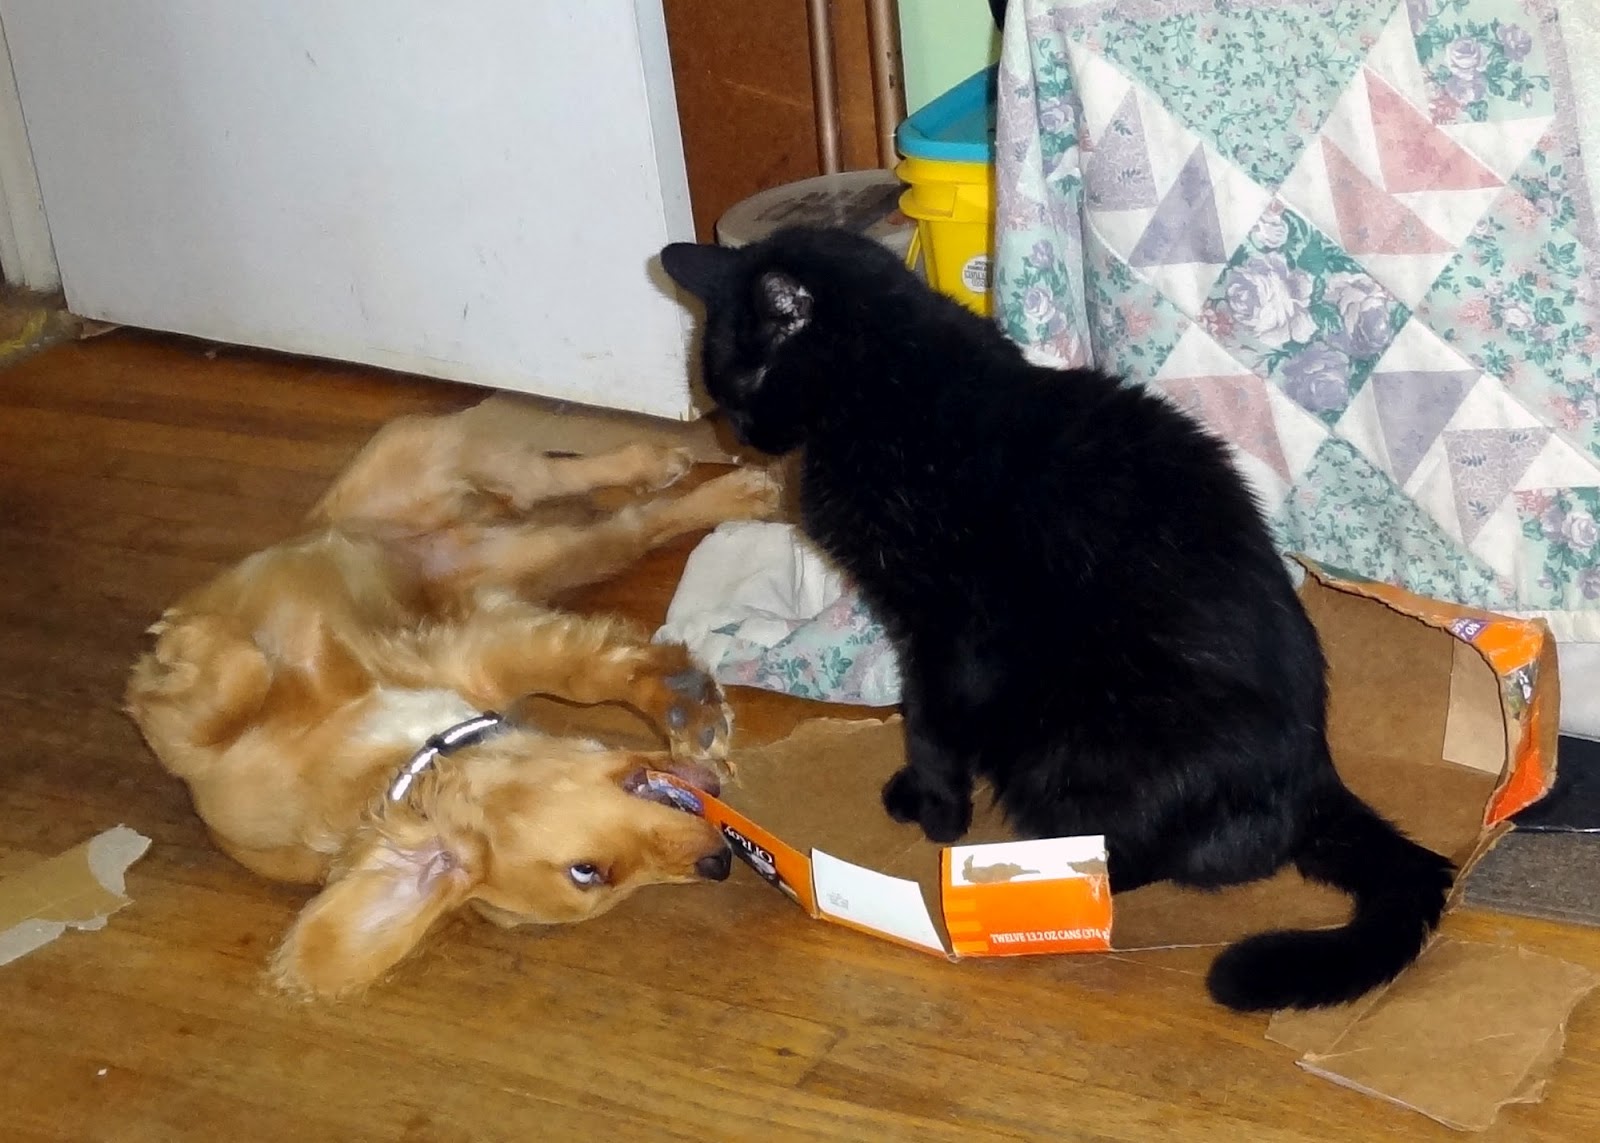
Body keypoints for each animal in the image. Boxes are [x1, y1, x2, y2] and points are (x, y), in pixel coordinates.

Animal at [126, 407, 781, 998]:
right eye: (589, 874)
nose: (720, 863)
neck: (397, 751)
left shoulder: (469, 657)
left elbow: (582, 677)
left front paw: (684, 705)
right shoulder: (477, 642)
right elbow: (235, 679)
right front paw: (192, 641)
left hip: (431, 450)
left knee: (551, 474)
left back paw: (679, 466)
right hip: (560, 553)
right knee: (631, 522)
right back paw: (721, 490)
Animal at [658, 225, 1454, 1012]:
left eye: (748, 380)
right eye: (722, 390)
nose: (740, 432)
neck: (892, 390)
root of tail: (1318, 778)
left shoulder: (940, 628)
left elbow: (928, 723)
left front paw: (937, 811)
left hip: (1069, 752)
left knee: (1162, 857)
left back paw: (1040, 871)